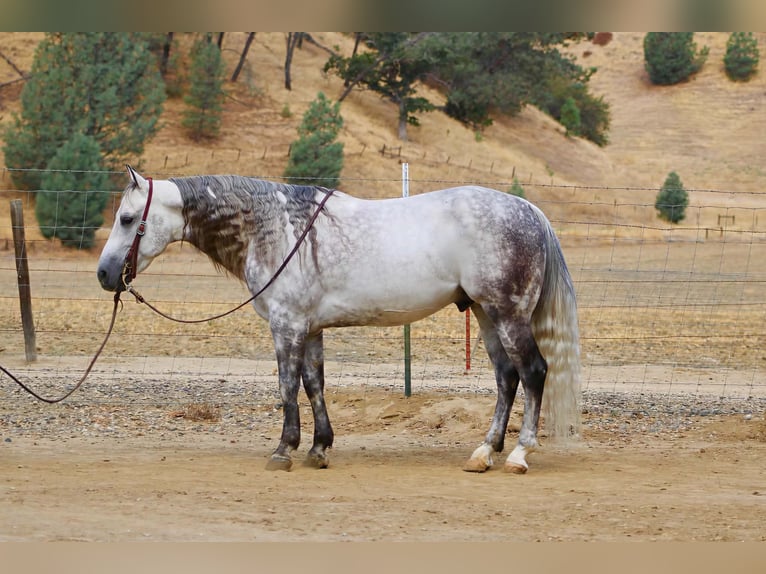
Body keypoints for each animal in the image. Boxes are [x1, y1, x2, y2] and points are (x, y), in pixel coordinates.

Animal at [97, 166, 581, 474]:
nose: (104, 274)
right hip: (485, 314)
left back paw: (518, 454)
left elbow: (287, 387)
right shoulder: (310, 329)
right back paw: (484, 452)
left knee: (533, 372)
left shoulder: (287, 325)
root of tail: (528, 210)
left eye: (127, 218)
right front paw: (319, 447)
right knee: (506, 377)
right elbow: (314, 384)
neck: (274, 227)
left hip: (508, 314)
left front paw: (284, 450)